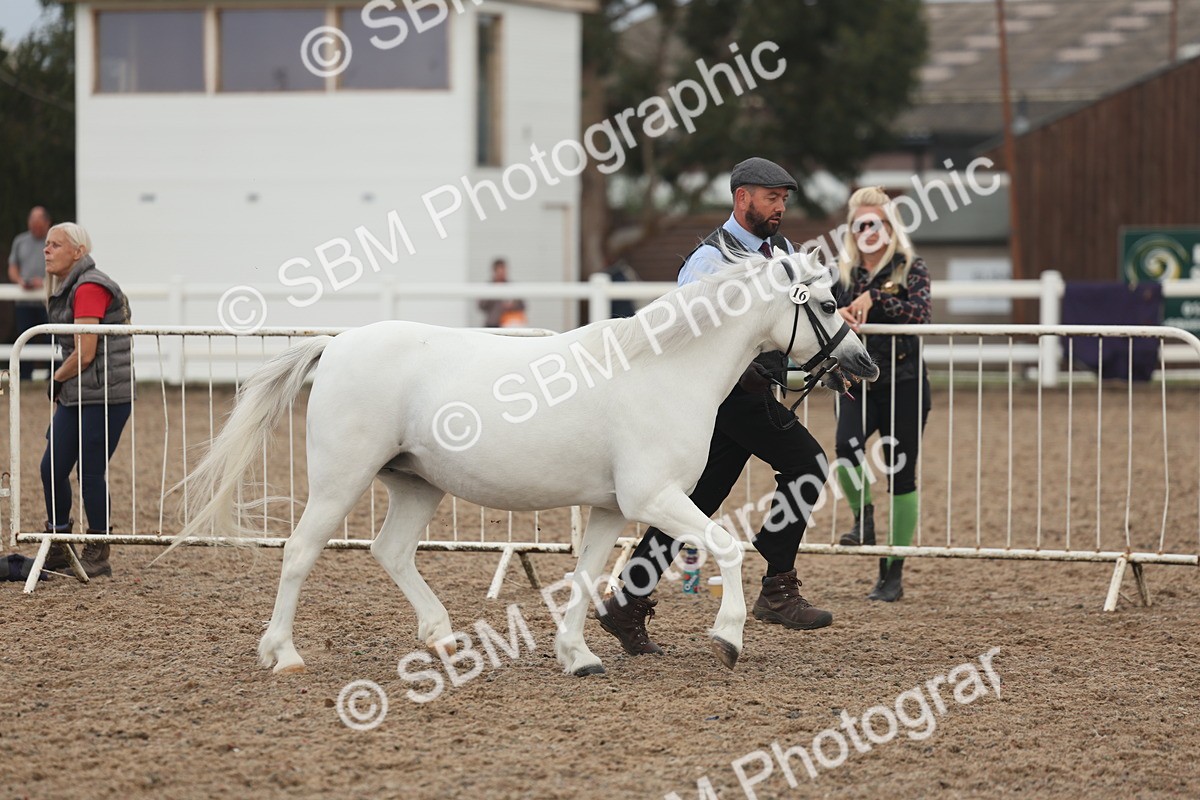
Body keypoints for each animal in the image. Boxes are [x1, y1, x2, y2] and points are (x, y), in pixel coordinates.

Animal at [176, 248, 879, 676]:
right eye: (822, 303)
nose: (864, 364)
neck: (663, 369)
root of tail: (337, 343)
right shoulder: (654, 497)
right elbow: (726, 547)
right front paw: (729, 638)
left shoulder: (611, 507)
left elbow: (589, 574)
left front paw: (578, 655)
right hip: (339, 480)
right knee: (300, 552)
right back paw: (284, 654)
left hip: (416, 484)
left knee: (391, 551)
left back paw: (442, 636)